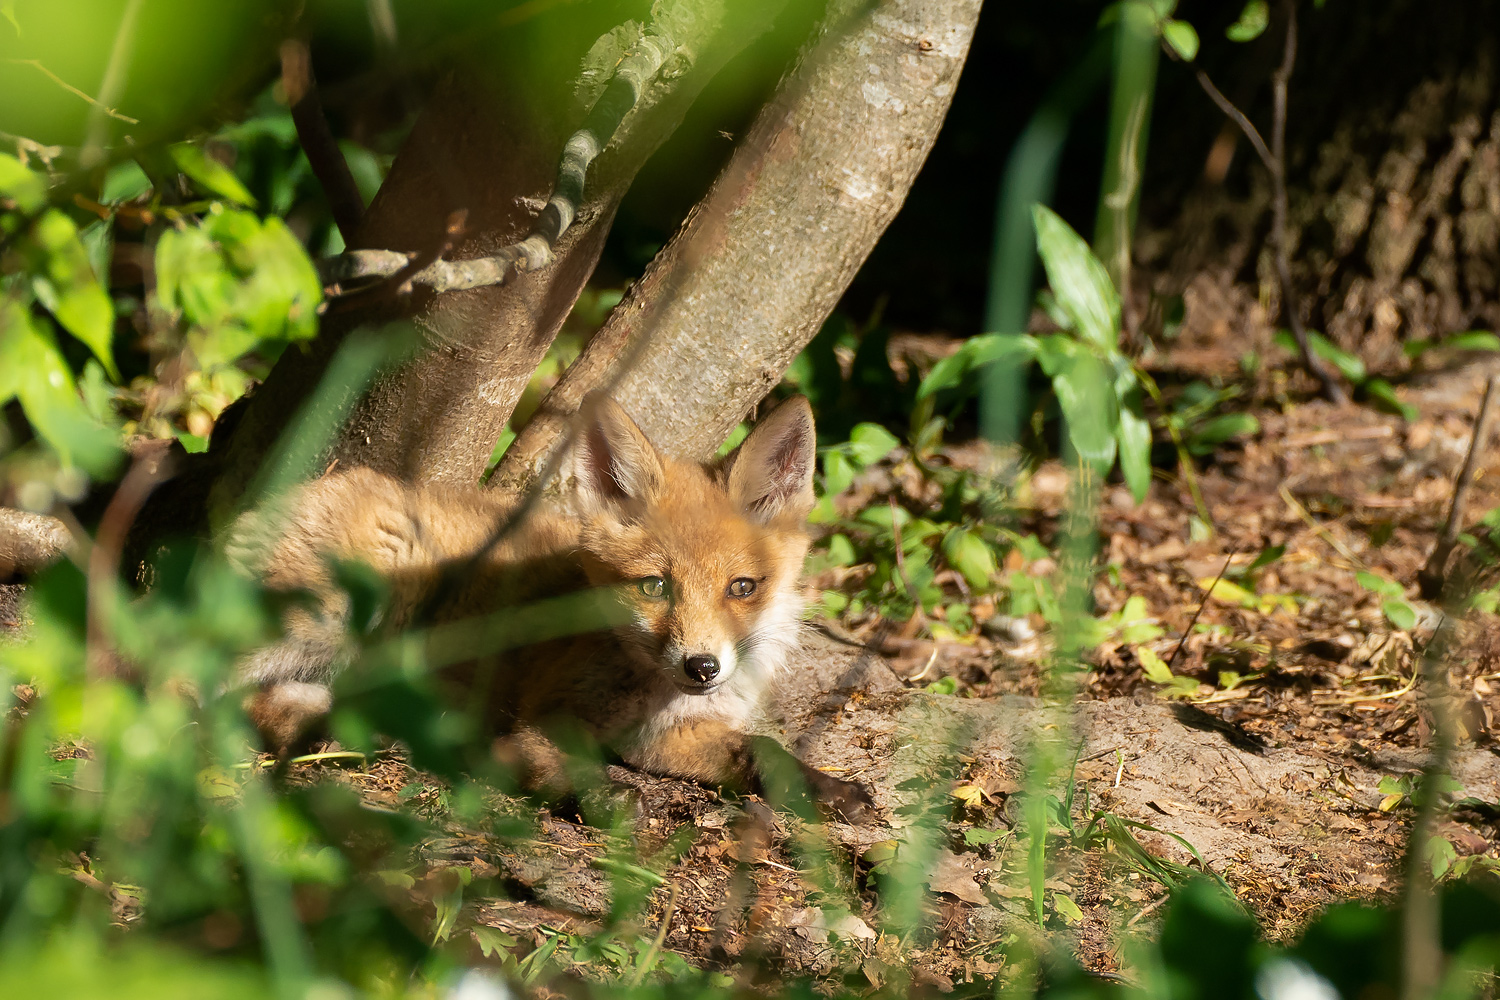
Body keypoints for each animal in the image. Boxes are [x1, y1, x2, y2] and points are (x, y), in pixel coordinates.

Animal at [226, 395, 876, 827]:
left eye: (742, 587)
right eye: (654, 587)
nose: (702, 668)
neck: (646, 688)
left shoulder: (664, 736)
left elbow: (762, 751)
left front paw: (827, 789)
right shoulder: (541, 715)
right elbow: (554, 761)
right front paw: (606, 797)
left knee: (275, 703)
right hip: (334, 613)